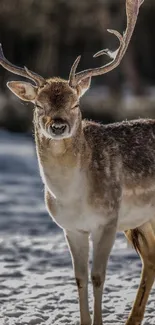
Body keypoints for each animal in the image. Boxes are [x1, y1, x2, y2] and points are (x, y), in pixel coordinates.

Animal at [0, 0, 153, 322]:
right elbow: (80, 278)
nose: (58, 125)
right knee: (151, 257)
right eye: (38, 104)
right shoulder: (70, 228)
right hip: (143, 220)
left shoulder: (108, 220)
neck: (73, 196)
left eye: (76, 103)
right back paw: (132, 319)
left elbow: (98, 276)